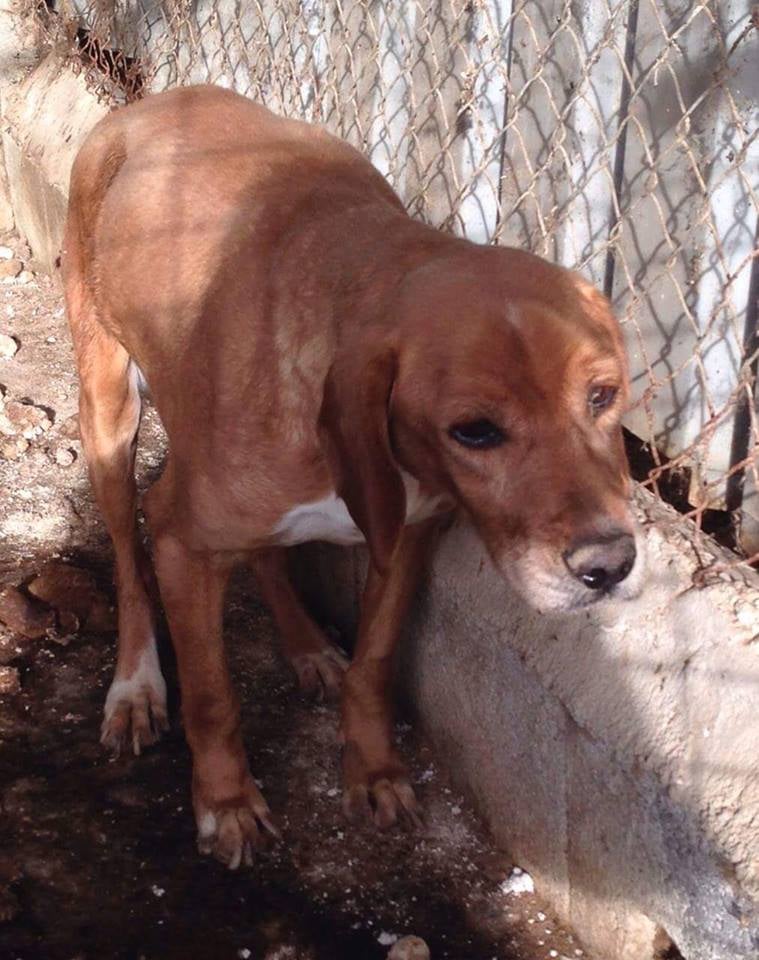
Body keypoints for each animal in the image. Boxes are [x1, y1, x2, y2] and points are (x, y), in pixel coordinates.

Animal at [62, 86, 644, 872]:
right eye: (474, 431)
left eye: (601, 396)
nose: (609, 566)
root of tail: (149, 103)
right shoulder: (182, 542)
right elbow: (211, 696)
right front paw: (226, 801)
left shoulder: (410, 536)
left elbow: (374, 663)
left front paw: (371, 769)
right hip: (108, 411)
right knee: (129, 554)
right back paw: (134, 685)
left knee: (266, 556)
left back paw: (307, 644)